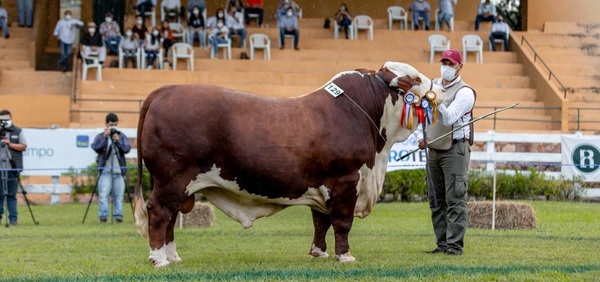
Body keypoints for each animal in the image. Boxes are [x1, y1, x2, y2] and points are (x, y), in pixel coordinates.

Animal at [134, 61, 442, 266]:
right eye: (415, 78)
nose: (437, 91)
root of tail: (166, 90)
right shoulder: (346, 181)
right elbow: (342, 222)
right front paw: (345, 256)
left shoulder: (324, 184)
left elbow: (321, 221)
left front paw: (319, 252)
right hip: (172, 178)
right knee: (159, 212)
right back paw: (159, 259)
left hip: (180, 184)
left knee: (171, 217)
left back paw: (173, 257)